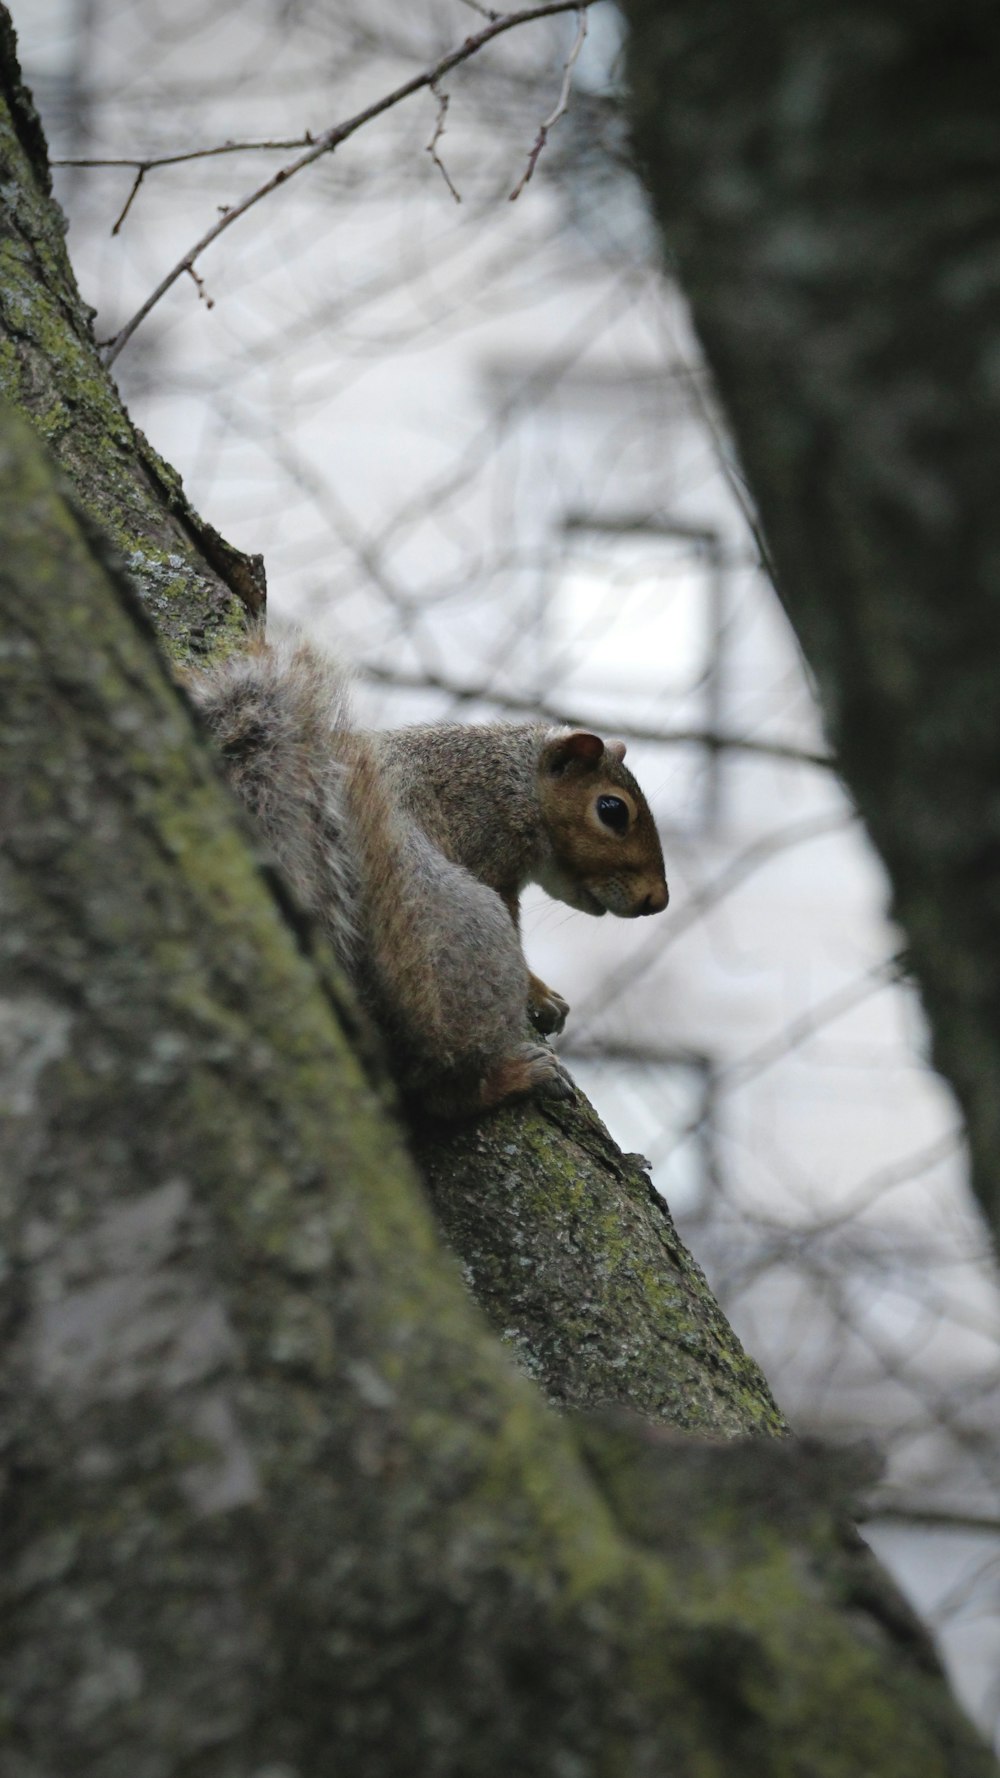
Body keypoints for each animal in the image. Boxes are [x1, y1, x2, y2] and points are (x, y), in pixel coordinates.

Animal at [188, 632, 669, 1116]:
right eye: (611, 810)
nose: (658, 901)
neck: (512, 781)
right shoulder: (486, 850)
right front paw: (540, 994)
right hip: (465, 942)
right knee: (442, 1085)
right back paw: (514, 1076)